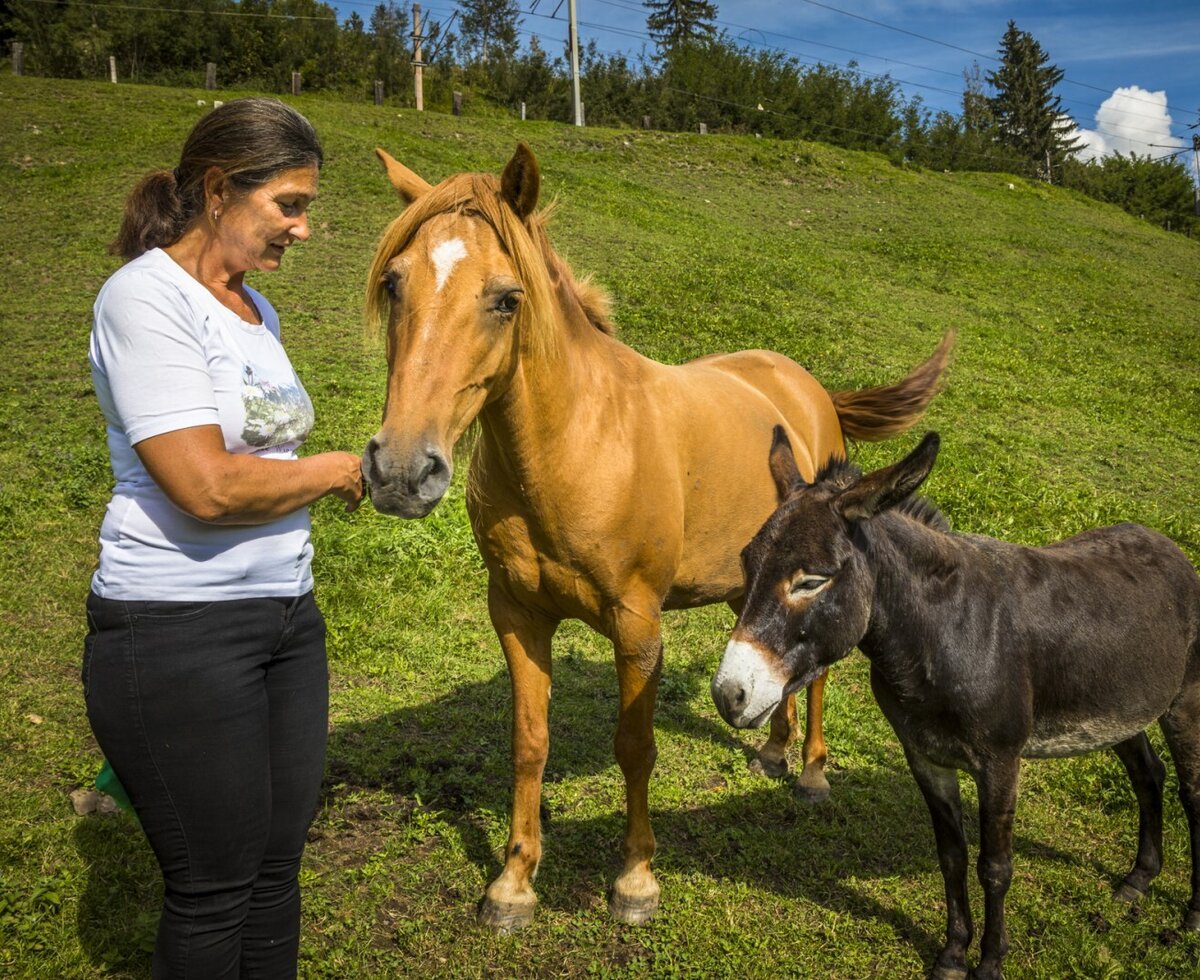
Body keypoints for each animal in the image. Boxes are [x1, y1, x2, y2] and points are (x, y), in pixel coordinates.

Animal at [361, 142, 952, 931]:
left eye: (506, 298)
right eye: (395, 284)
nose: (401, 469)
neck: (577, 444)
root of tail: (808, 388)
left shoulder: (638, 626)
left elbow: (635, 748)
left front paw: (636, 880)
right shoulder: (517, 614)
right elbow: (528, 743)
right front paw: (513, 884)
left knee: (821, 673)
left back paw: (812, 773)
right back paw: (773, 750)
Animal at [712, 428, 1200, 979]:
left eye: (812, 580)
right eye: (746, 562)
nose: (728, 694)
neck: (937, 634)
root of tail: (1163, 542)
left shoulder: (1001, 763)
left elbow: (995, 867)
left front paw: (989, 963)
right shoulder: (925, 757)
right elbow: (952, 857)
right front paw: (951, 956)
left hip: (1185, 701)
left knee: (1192, 791)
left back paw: (1191, 919)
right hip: (1119, 711)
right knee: (1148, 774)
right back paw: (1138, 880)